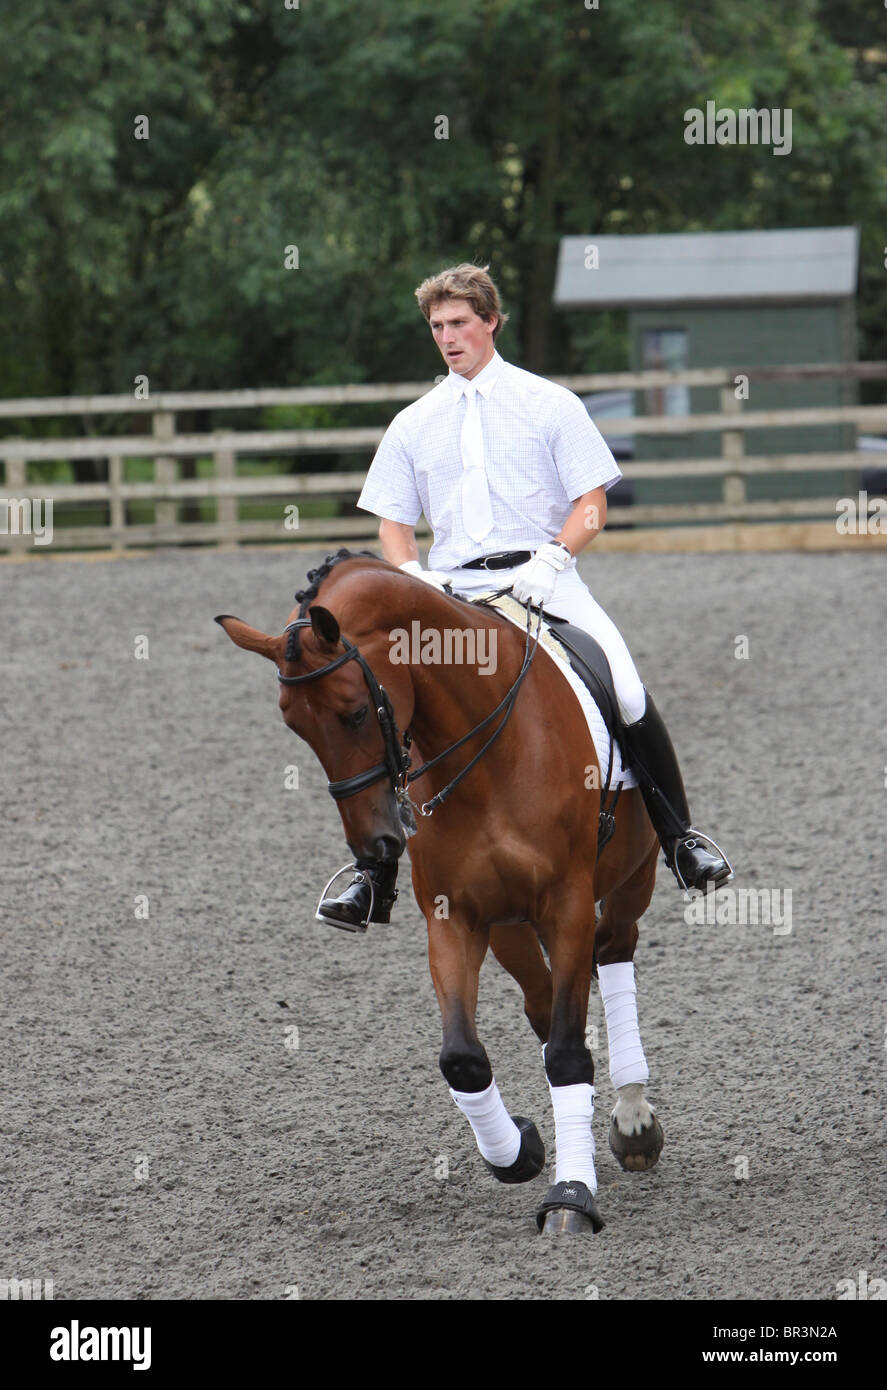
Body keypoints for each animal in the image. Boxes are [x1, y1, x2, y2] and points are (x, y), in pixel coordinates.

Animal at [216, 547, 667, 1234]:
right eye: (295, 728)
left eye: (354, 711)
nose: (375, 846)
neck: (488, 752)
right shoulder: (456, 917)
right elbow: (464, 1058)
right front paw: (519, 1150)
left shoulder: (566, 904)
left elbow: (568, 1053)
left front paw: (570, 1198)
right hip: (511, 927)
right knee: (543, 1005)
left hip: (627, 885)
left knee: (614, 957)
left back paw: (634, 1119)